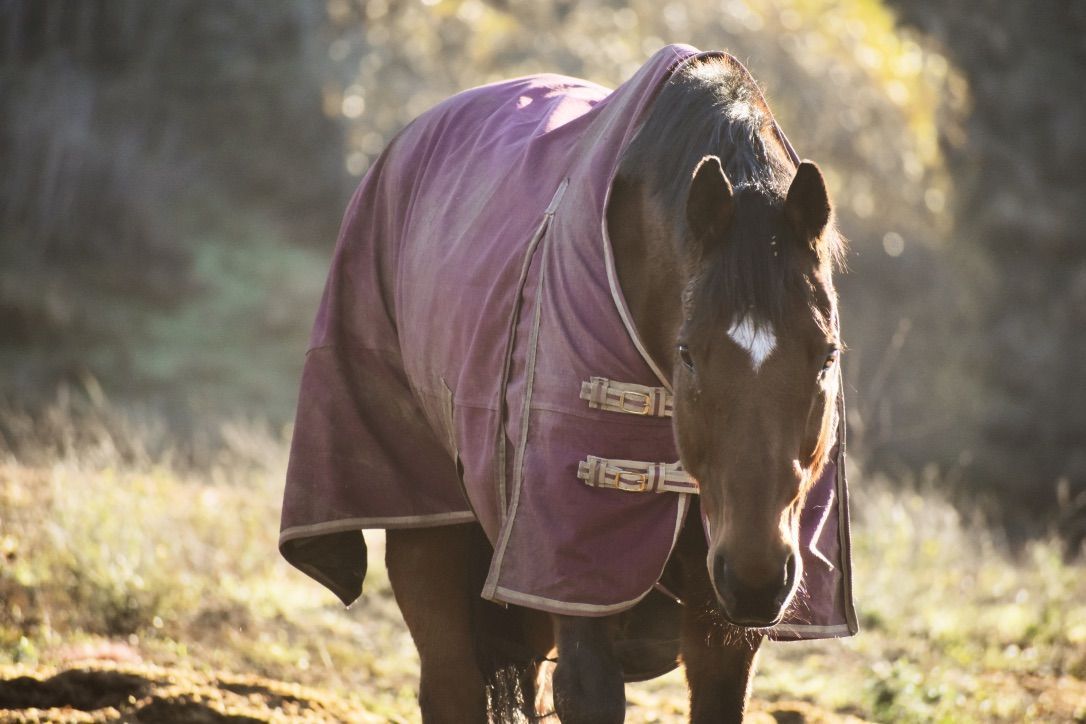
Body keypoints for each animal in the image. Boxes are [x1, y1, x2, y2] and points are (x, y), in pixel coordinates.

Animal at [280, 45, 852, 723]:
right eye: (687, 355)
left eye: (827, 356)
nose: (756, 574)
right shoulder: (571, 570)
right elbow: (588, 690)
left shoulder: (723, 630)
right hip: (432, 535)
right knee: (449, 684)